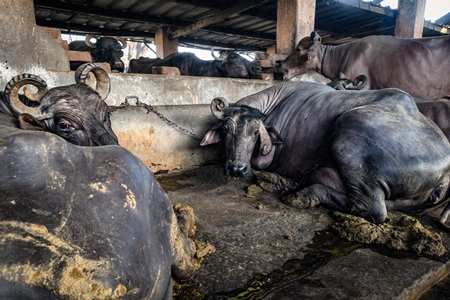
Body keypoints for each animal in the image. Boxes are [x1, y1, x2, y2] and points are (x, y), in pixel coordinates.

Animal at [202, 81, 450, 231]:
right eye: (225, 130)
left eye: (255, 132)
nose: (236, 168)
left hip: (351, 130)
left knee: (372, 208)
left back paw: (300, 193)